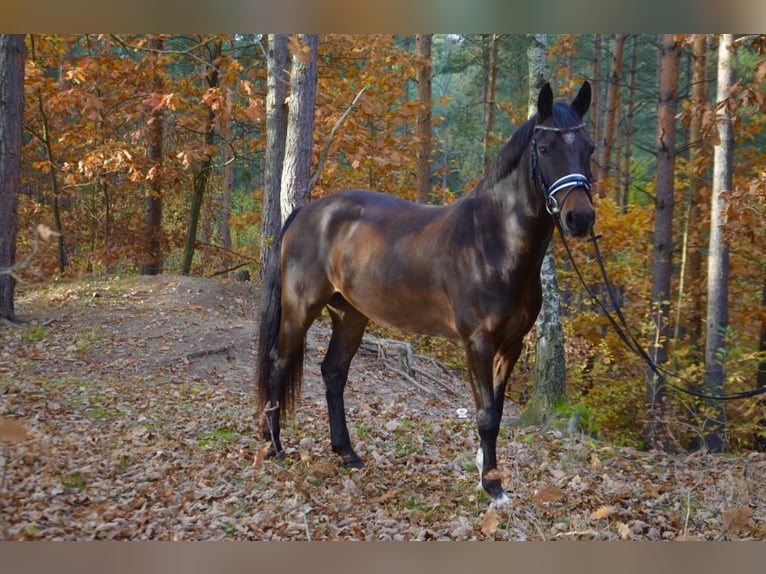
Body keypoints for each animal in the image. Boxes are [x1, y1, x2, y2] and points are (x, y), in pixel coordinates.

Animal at [258, 80, 600, 504]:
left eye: (589, 148)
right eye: (546, 148)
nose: (580, 218)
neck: (493, 242)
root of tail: (306, 211)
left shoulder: (511, 345)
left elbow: (497, 410)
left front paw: (487, 472)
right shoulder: (477, 342)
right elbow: (487, 414)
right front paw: (491, 485)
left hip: (349, 314)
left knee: (333, 373)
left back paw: (347, 452)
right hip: (300, 308)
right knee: (278, 363)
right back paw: (274, 446)